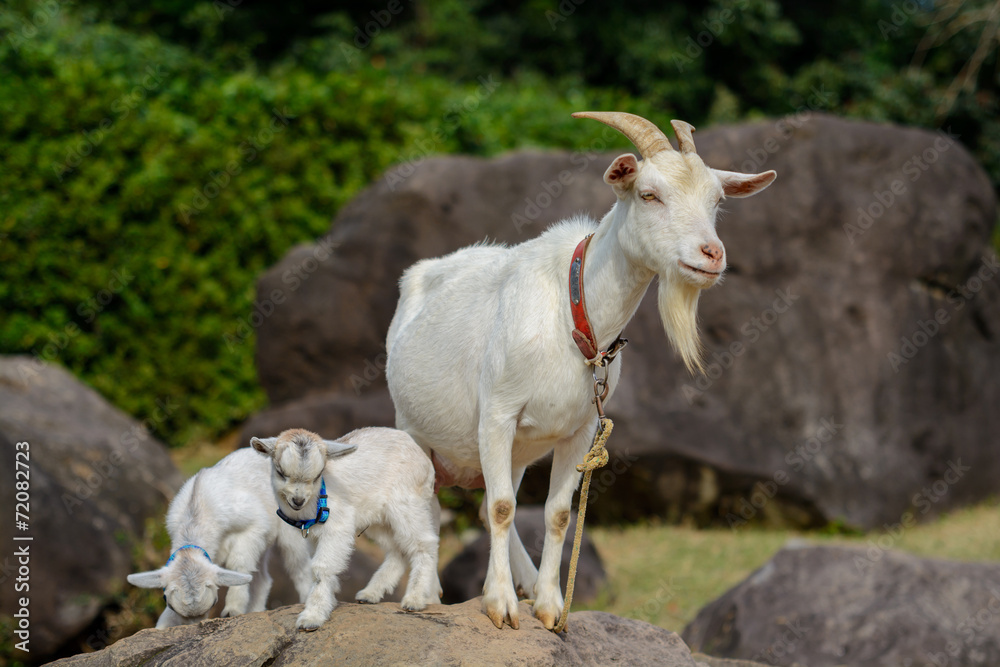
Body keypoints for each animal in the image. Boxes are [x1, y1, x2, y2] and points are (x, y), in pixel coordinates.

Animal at [127, 446, 312, 628]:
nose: (195, 626)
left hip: (290, 524)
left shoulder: (254, 526)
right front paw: (164, 625)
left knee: (298, 564)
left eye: (214, 602)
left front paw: (233, 609)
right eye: (170, 605)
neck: (196, 511)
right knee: (262, 579)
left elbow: (239, 564)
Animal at [249, 428, 438, 632]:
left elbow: (321, 568)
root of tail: (421, 453)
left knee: (425, 544)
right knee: (398, 550)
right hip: (377, 519)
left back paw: (415, 599)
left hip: (407, 504)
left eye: (318, 475)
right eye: (280, 472)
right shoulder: (314, 536)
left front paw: (312, 617)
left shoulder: (337, 527)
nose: (298, 501)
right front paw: (328, 602)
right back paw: (370, 594)